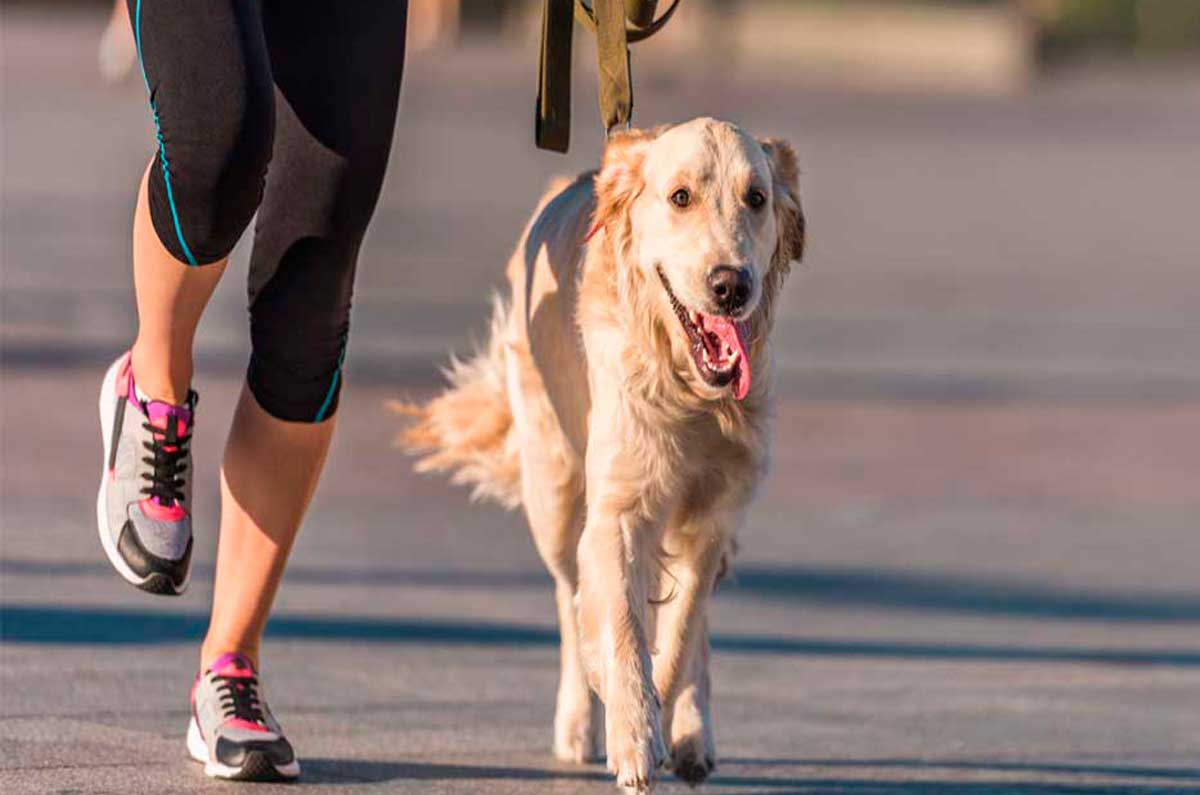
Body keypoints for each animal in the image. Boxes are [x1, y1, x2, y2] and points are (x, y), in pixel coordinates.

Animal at [400, 117, 806, 792]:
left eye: (757, 198)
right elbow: (616, 621)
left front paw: (663, 720)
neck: (691, 394)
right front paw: (631, 730)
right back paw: (578, 720)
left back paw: (692, 733)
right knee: (570, 599)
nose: (731, 285)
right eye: (679, 197)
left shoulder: (715, 517)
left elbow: (680, 633)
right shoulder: (617, 509)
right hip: (556, 495)